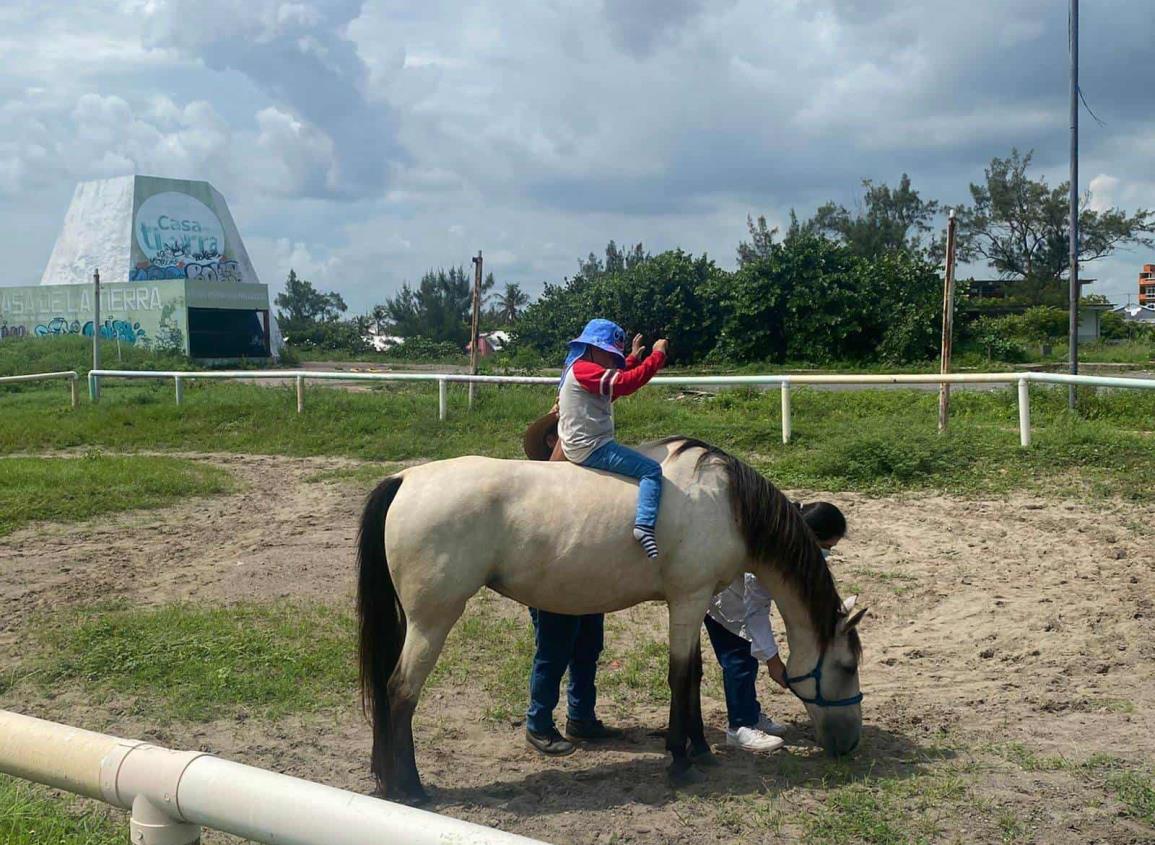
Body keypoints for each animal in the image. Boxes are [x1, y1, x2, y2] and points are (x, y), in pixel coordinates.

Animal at [355, 438, 863, 803]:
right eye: (847, 665)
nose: (850, 745)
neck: (727, 505)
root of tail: (405, 478)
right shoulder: (687, 600)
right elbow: (681, 677)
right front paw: (679, 761)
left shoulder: (694, 603)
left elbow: (696, 675)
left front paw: (700, 750)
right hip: (432, 622)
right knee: (399, 692)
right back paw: (410, 788)